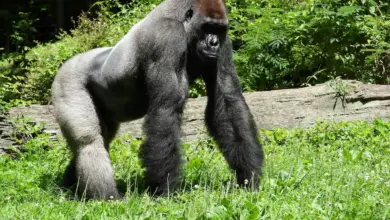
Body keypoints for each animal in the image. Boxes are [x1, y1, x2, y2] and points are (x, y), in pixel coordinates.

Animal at [51, 0, 266, 200]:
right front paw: (166, 189)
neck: (182, 22)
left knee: (101, 139)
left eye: (219, 30)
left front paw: (248, 177)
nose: (213, 43)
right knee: (89, 142)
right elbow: (165, 109)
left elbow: (228, 100)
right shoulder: (167, 36)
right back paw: (107, 198)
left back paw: (70, 186)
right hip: (67, 80)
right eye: (207, 27)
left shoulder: (224, 43)